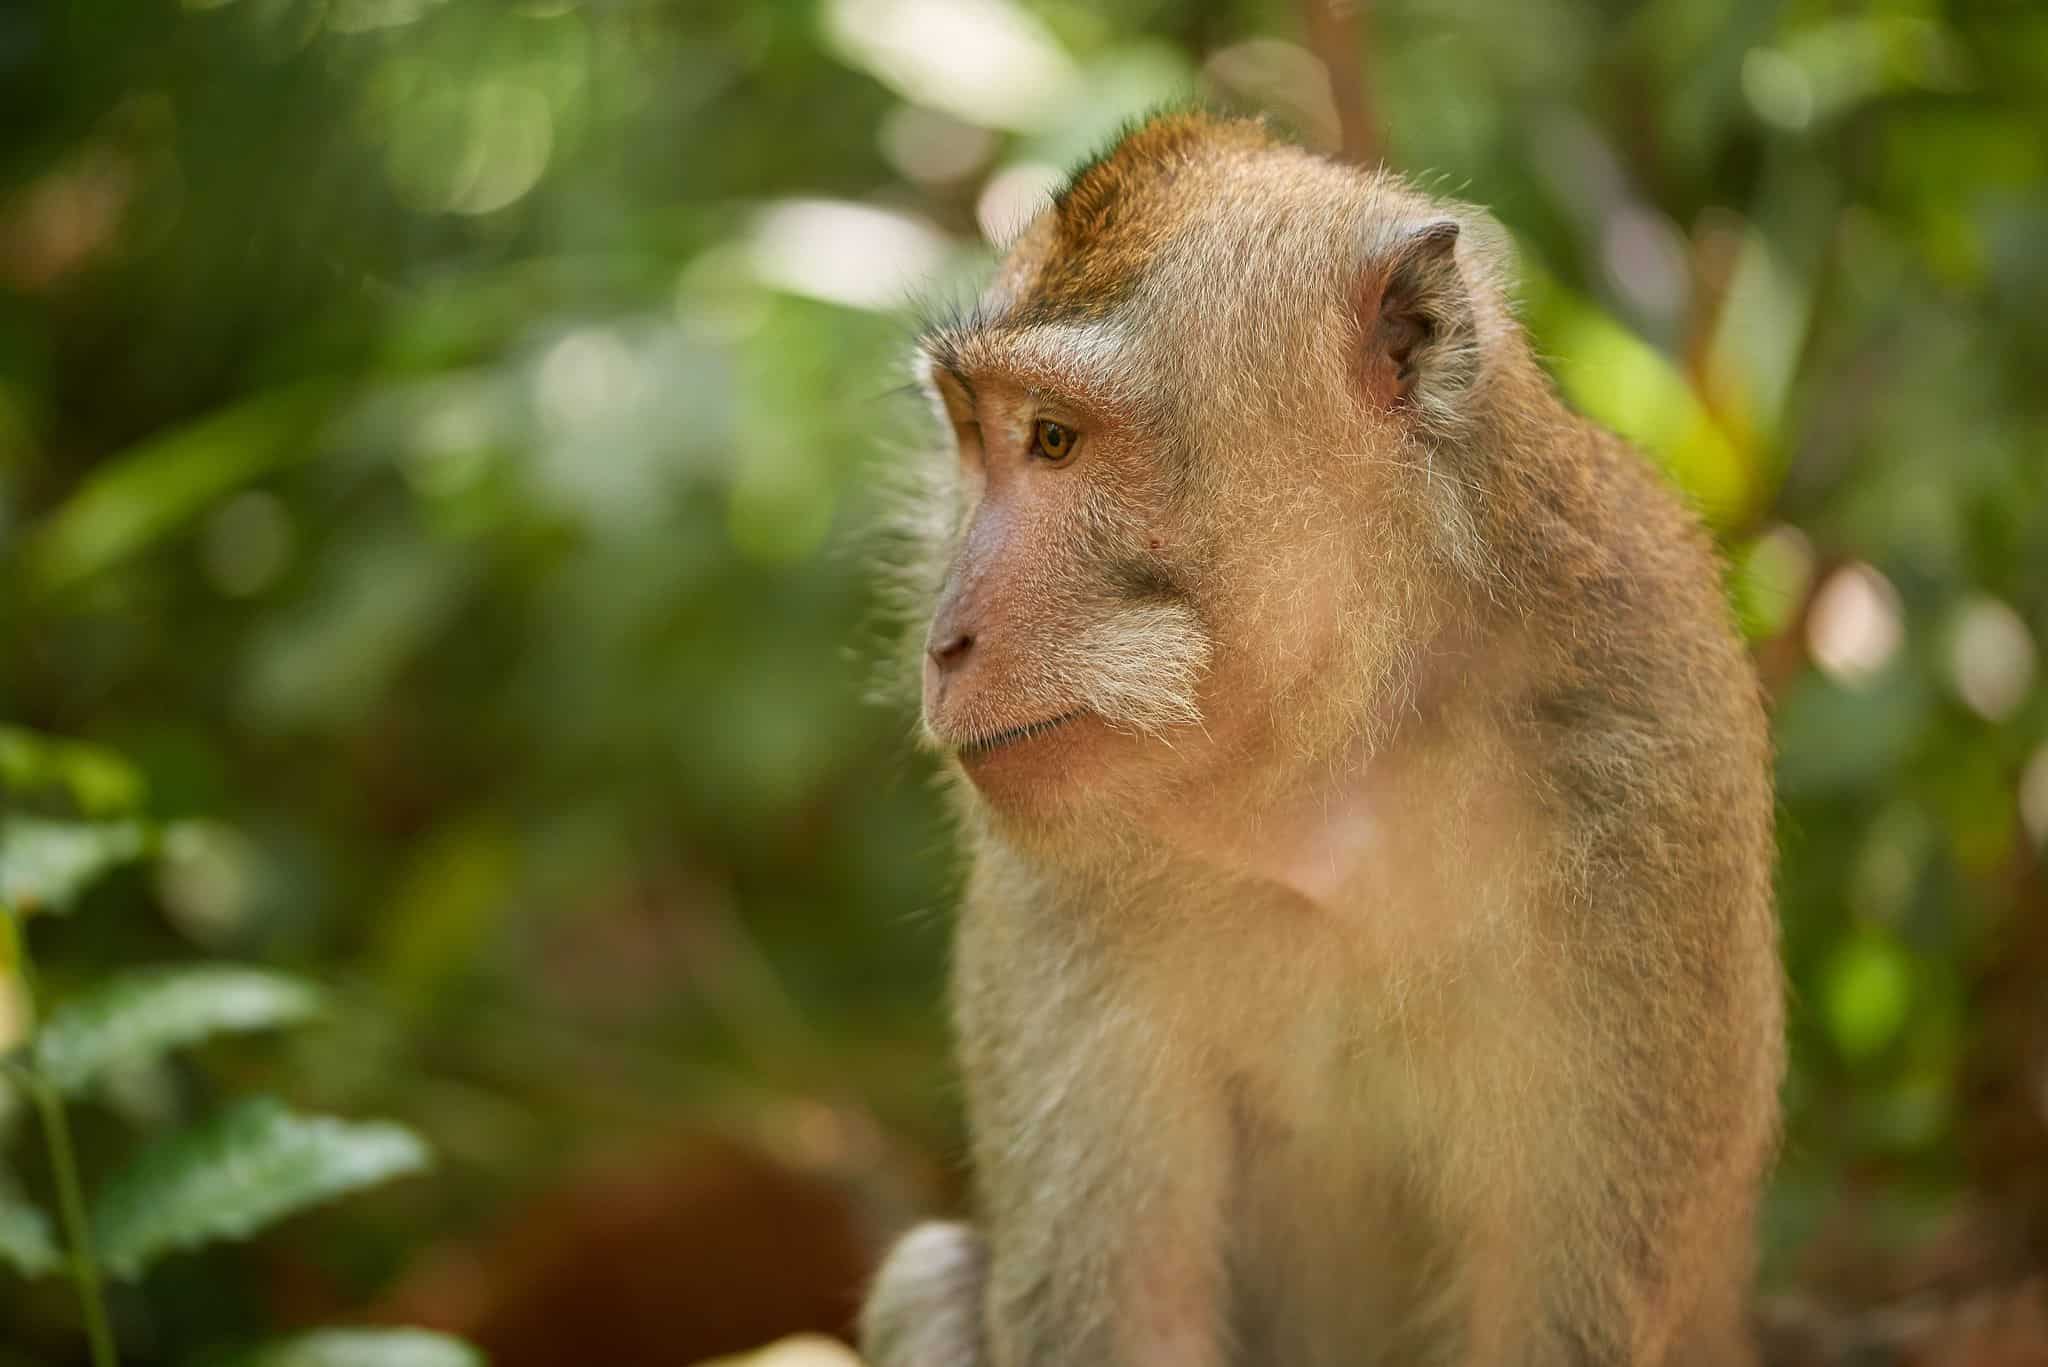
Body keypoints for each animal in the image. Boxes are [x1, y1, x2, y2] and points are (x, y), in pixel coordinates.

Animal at [861, 112, 1783, 1367]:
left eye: (1052, 438)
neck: (1337, 761)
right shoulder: (1050, 892)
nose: (944, 637)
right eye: (973, 436)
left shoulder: (1651, 779)